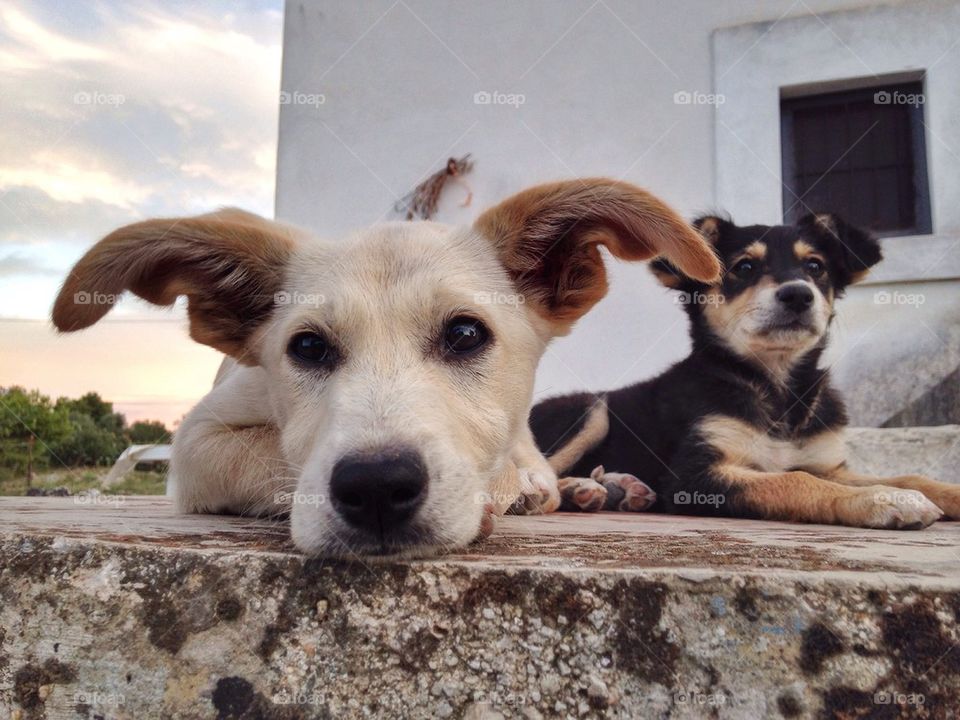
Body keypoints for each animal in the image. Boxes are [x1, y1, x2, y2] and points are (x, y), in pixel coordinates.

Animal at [50, 179, 712, 556]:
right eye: (308, 348)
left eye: (466, 334)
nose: (374, 487)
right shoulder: (196, 442)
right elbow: (271, 454)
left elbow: (515, 469)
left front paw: (516, 490)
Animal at [532, 214, 960, 528]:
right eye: (745, 266)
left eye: (815, 266)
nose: (797, 295)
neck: (779, 390)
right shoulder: (694, 477)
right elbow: (794, 480)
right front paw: (882, 500)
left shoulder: (827, 464)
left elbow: (909, 476)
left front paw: (930, 492)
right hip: (591, 409)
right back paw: (573, 490)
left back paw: (619, 488)